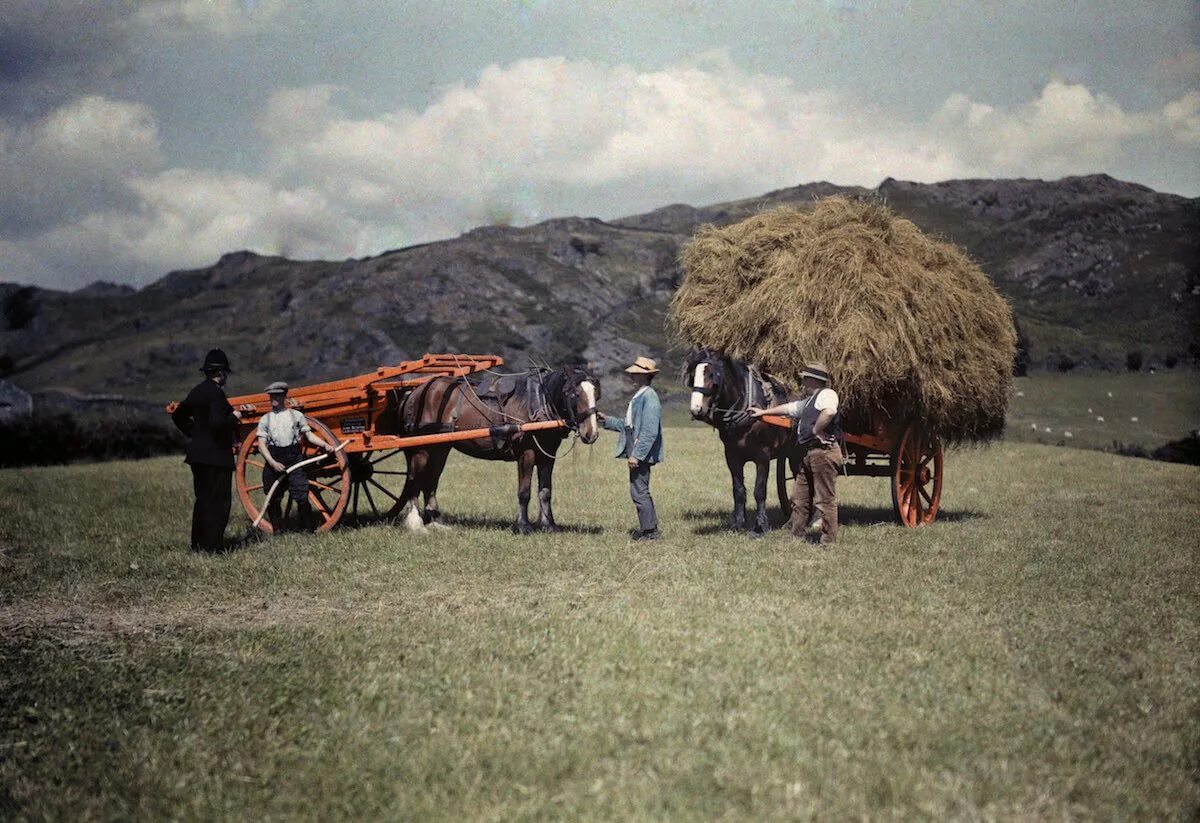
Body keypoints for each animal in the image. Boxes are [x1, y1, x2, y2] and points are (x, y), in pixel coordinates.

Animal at [393, 367, 600, 535]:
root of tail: (415, 391)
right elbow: (524, 492)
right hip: (422, 448)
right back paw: (416, 523)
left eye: (596, 395)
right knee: (414, 479)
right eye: (574, 394)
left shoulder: (547, 456)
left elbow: (545, 491)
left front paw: (548, 525)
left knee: (431, 481)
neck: (536, 402)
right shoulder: (527, 454)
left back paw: (436, 521)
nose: (591, 433)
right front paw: (523, 526)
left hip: (440, 448)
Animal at [686, 347, 796, 535]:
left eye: (713, 376)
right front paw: (737, 524)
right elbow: (738, 490)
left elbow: (759, 490)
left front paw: (761, 525)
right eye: (693, 376)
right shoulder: (732, 456)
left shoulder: (763, 456)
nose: (697, 410)